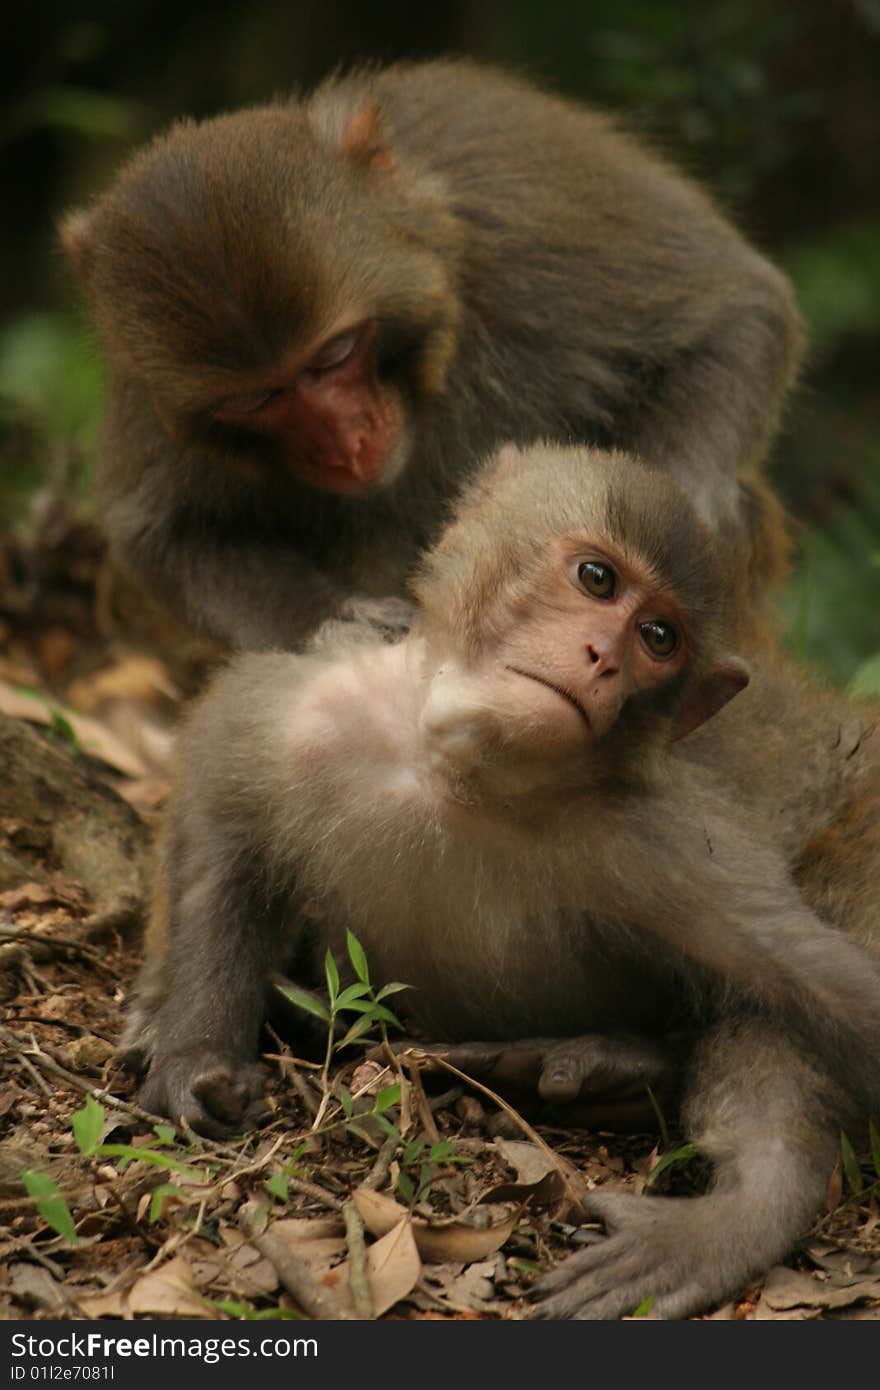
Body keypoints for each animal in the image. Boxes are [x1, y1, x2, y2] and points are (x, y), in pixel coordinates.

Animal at [61, 59, 800, 656]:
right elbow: (167, 536)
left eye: (333, 354)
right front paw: (339, 623)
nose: (346, 442)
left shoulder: (520, 213)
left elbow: (739, 313)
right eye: (258, 398)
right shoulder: (143, 382)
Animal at [123, 442, 878, 1312]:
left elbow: (821, 983)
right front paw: (195, 1053)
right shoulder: (292, 709)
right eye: (596, 579)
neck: (458, 773)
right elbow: (220, 825)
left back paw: (725, 1190)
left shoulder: (672, 849)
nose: (603, 658)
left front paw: (756, 1204)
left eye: (659, 637)